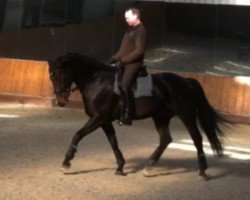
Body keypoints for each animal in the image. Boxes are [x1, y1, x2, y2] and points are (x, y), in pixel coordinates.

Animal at [47, 52, 228, 179]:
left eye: (62, 74)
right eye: (51, 76)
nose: (61, 100)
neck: (96, 81)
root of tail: (187, 81)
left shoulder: (98, 118)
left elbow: (77, 135)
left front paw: (66, 163)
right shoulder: (104, 120)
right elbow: (113, 142)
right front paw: (120, 168)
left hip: (186, 115)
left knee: (197, 139)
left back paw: (203, 172)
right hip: (161, 117)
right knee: (165, 139)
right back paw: (148, 167)